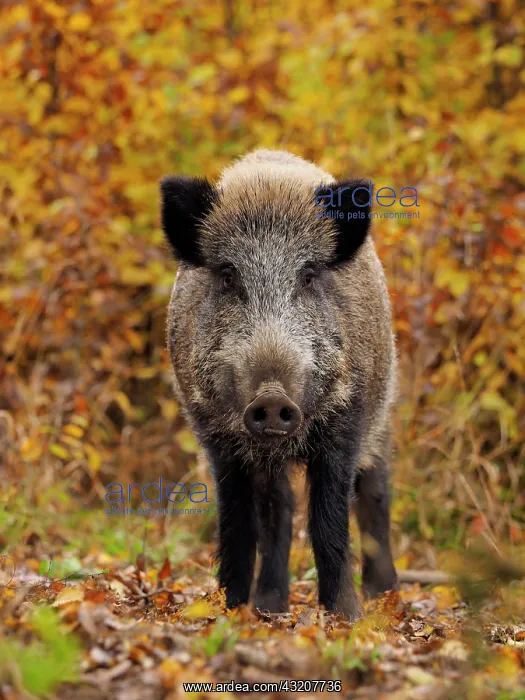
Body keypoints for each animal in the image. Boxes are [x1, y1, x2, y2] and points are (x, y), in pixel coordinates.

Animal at [160, 149, 397, 620]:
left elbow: (328, 521)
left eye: (308, 275)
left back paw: (385, 596)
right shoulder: (214, 434)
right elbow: (237, 522)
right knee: (279, 507)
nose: (271, 397)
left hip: (381, 414)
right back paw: (271, 607)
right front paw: (229, 609)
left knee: (375, 494)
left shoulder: (347, 421)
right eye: (228, 276)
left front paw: (346, 618)